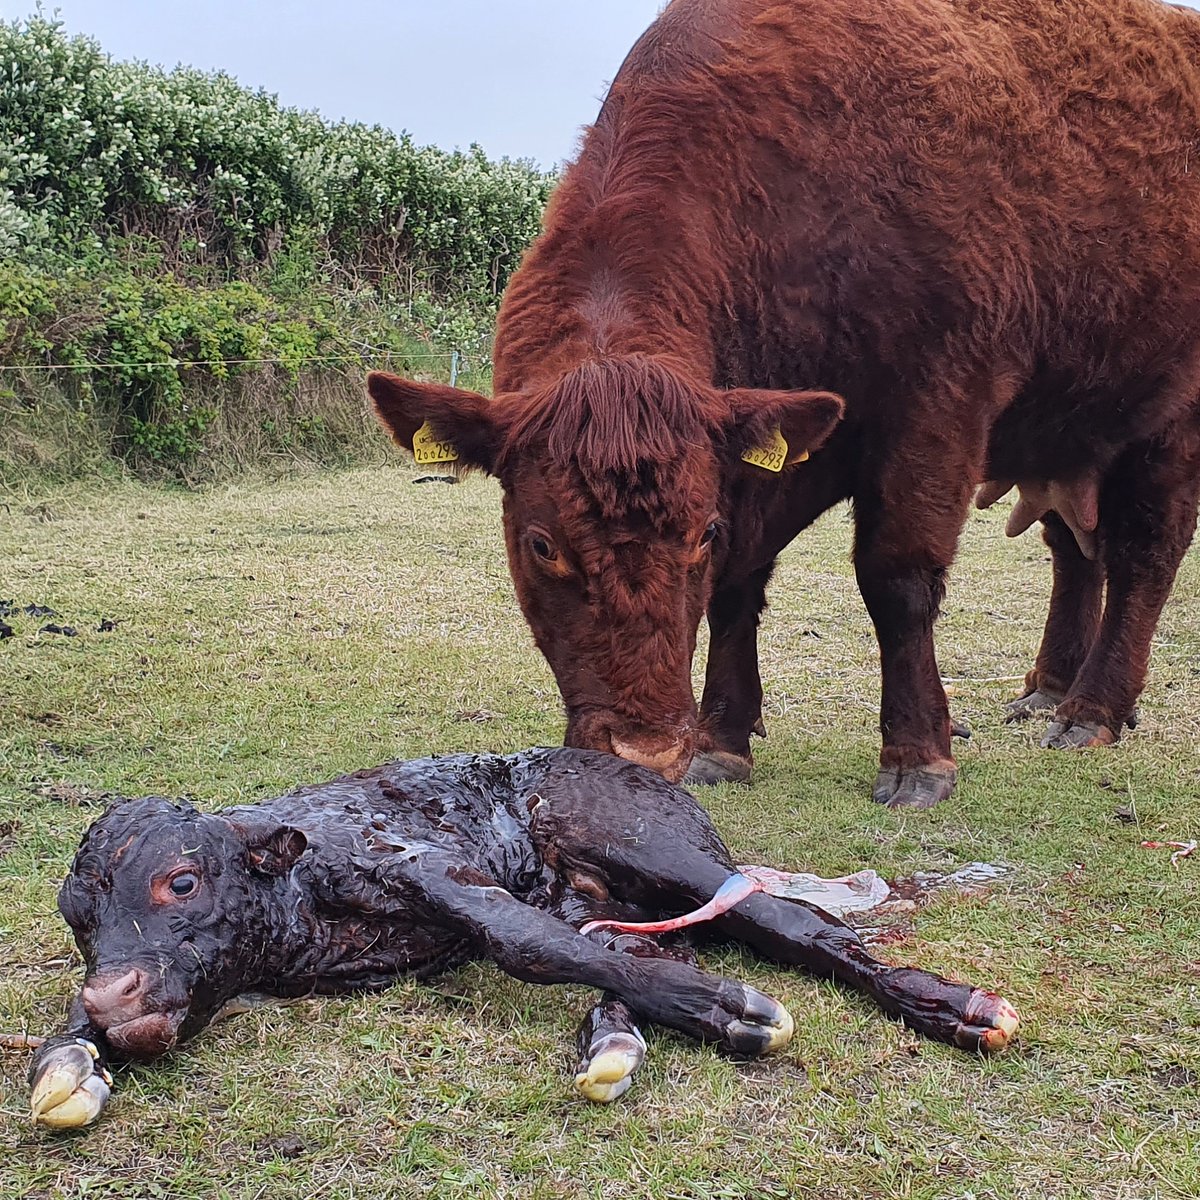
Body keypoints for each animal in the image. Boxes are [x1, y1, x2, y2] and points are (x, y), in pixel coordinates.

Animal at [26, 749, 1017, 1129]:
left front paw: (732, 1008)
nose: (116, 992)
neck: (300, 918)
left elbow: (522, 943)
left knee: (785, 920)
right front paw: (71, 1060)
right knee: (643, 948)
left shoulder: (428, 867)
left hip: (655, 846)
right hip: (596, 893)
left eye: (182, 881)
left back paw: (952, 1006)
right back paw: (615, 1039)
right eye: (80, 920)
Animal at [367, 0, 1200, 810]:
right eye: (542, 544)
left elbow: (897, 580)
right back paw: (1051, 689)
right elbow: (738, 585)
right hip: (1070, 434)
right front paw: (722, 741)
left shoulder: (934, 412)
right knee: (1074, 549)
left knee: (1143, 555)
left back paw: (1091, 709)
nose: (645, 751)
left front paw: (916, 757)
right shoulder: (752, 448)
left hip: (1167, 430)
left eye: (697, 534)